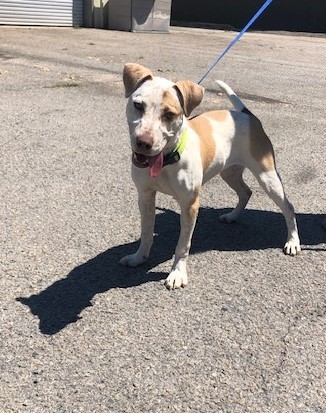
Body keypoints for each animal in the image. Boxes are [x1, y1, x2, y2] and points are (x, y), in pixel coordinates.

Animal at [119, 63, 300, 290]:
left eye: (169, 114)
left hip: (267, 177)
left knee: (288, 207)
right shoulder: (145, 196)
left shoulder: (190, 205)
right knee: (246, 192)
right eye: (138, 105)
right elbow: (146, 232)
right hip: (229, 173)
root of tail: (247, 114)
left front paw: (177, 273)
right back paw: (232, 216)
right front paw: (139, 257)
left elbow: (183, 245)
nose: (143, 142)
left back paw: (293, 242)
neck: (166, 159)